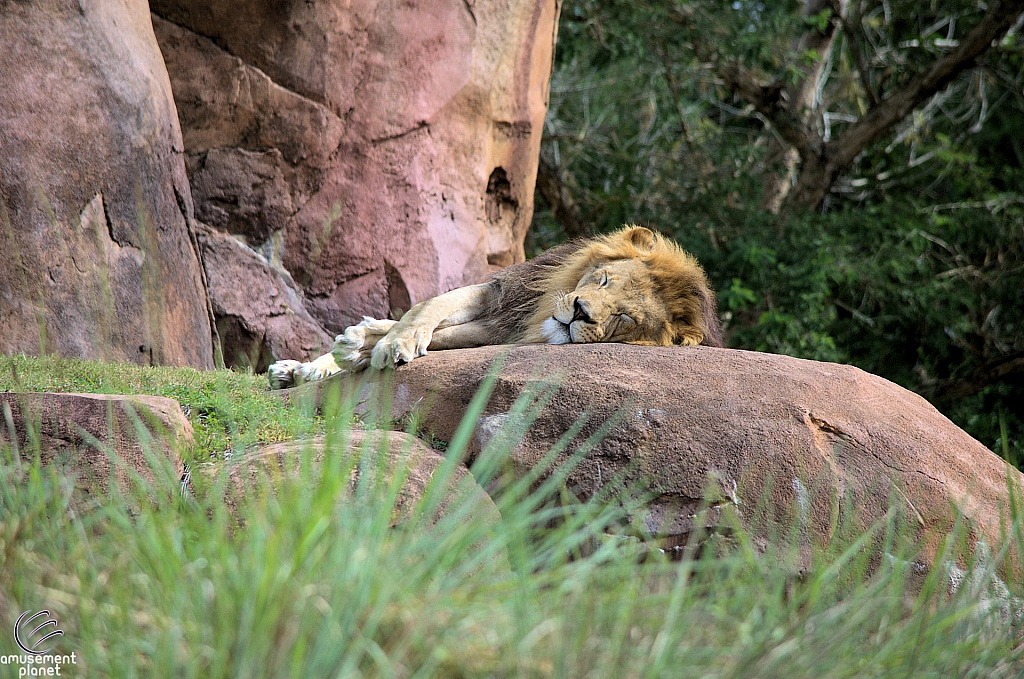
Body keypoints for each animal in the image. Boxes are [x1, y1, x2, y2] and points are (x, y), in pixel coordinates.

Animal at [268, 227, 724, 391]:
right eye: (604, 280)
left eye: (625, 318)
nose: (579, 311)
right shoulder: (506, 295)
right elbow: (426, 308)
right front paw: (376, 343)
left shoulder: (503, 330)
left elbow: (436, 333)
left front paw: (364, 347)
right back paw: (297, 368)